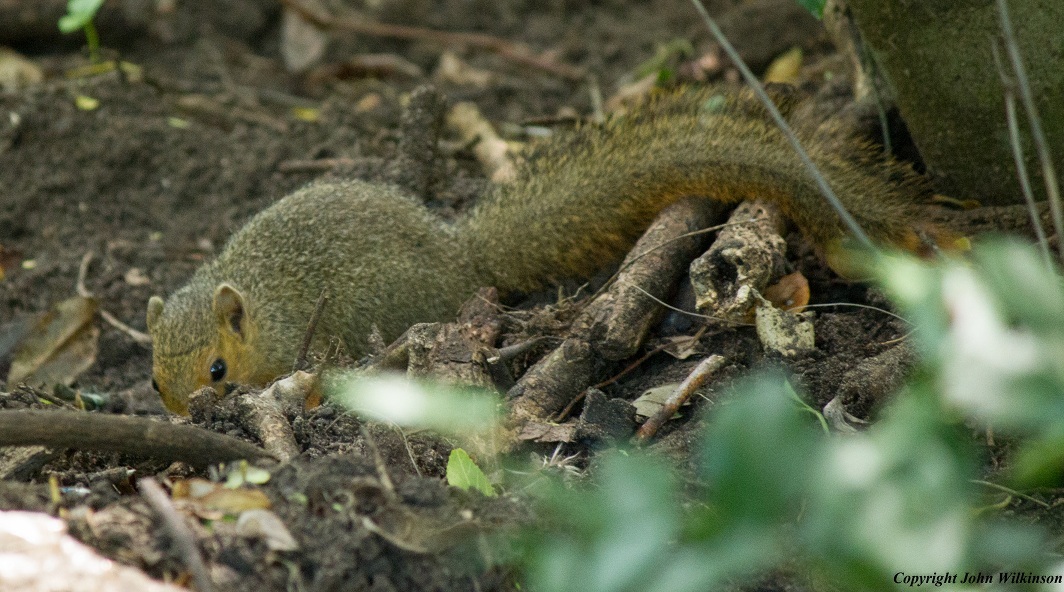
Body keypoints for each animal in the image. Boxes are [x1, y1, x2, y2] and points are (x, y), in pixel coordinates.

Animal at [143, 85, 957, 413]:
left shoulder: (287, 345)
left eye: (217, 369)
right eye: (153, 382)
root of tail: (457, 259)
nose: (189, 417)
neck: (255, 306)